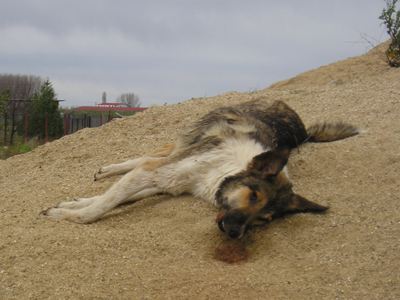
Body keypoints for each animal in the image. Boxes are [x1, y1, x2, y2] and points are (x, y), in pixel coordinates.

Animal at [42, 100, 358, 239]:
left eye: (265, 219)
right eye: (253, 195)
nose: (234, 233)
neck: (222, 169)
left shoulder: (167, 183)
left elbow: (115, 198)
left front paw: (68, 205)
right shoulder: (157, 172)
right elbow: (101, 206)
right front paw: (67, 214)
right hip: (186, 139)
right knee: (150, 154)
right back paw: (109, 169)